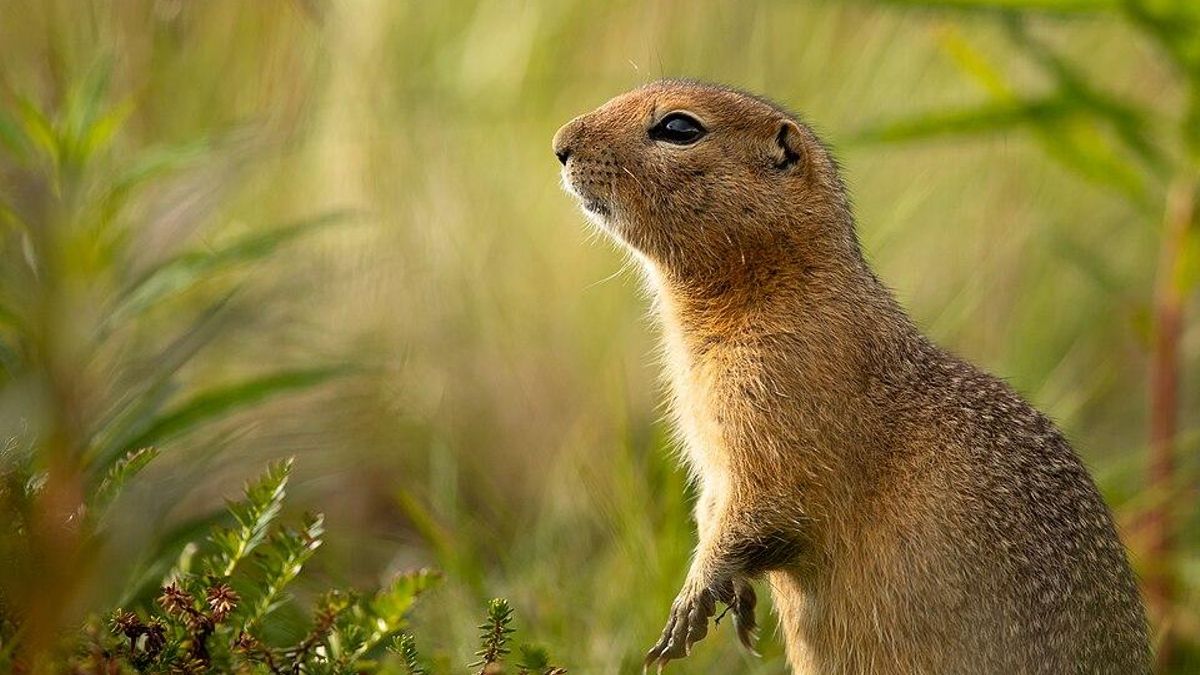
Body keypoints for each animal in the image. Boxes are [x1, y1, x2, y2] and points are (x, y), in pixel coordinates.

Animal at [552, 80, 1150, 674]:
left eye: (679, 127)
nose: (560, 143)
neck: (775, 285)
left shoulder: (778, 401)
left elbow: (761, 507)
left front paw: (688, 608)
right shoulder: (713, 448)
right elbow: (713, 508)